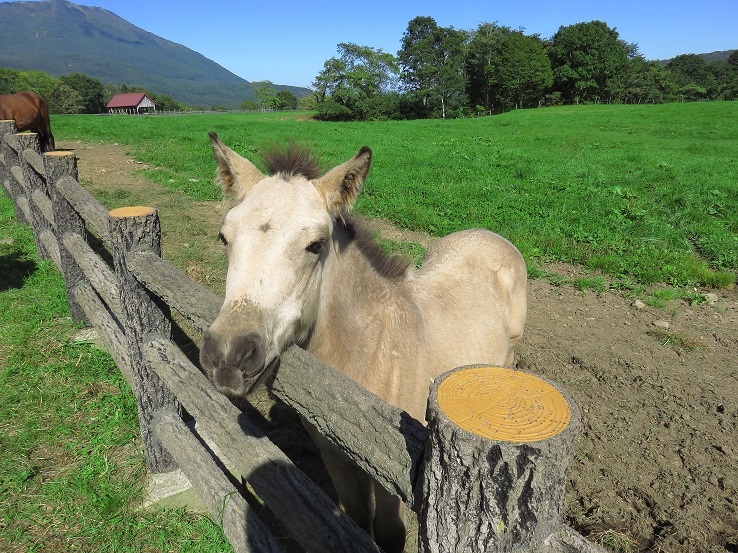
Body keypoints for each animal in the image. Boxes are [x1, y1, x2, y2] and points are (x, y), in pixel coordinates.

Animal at [198, 134, 528, 552]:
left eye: (316, 245)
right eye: (224, 236)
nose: (228, 355)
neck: (367, 356)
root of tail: (489, 233)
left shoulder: (394, 478)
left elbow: (389, 532)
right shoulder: (333, 454)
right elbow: (353, 517)